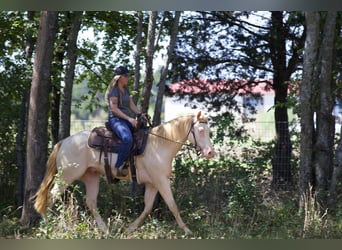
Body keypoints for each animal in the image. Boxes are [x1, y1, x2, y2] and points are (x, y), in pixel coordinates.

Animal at [32, 110, 214, 235]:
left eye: (209, 131)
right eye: (200, 130)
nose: (210, 153)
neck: (160, 144)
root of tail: (64, 142)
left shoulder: (152, 183)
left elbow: (147, 207)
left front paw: (130, 228)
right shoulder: (161, 180)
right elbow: (172, 205)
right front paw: (187, 231)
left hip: (91, 177)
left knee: (91, 203)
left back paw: (105, 230)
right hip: (66, 177)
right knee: (50, 197)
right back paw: (48, 225)